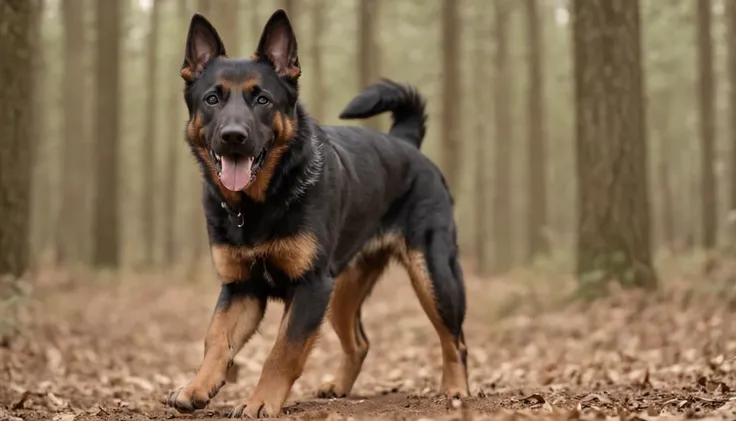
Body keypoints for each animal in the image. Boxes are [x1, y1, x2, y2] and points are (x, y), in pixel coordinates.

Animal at [164, 9, 468, 416]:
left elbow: (283, 351)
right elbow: (215, 339)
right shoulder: (242, 288)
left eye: (262, 99)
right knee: (359, 342)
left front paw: (261, 401)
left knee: (455, 340)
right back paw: (339, 387)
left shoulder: (309, 288)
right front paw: (198, 386)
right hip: (343, 289)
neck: (261, 203)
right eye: (212, 99)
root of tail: (406, 144)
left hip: (433, 275)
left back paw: (456, 389)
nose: (233, 136)